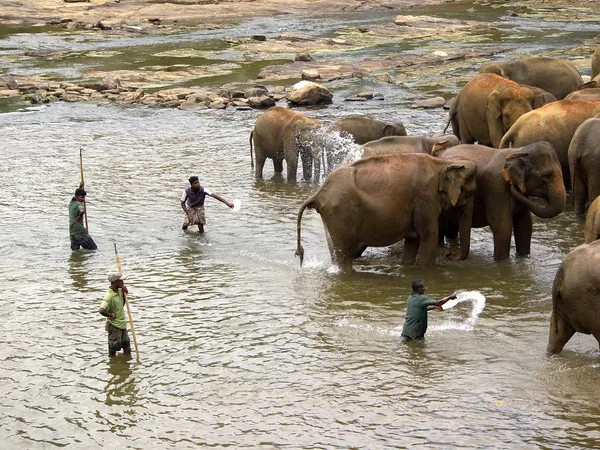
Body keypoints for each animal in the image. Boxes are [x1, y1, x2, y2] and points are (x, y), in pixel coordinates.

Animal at [292, 153, 476, 272]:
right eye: (471, 192)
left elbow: (413, 239)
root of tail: (318, 194)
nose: (449, 254)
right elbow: (428, 235)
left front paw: (408, 267)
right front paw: (427, 271)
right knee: (345, 255)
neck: (442, 162)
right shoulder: (425, 197)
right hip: (340, 214)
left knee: (336, 252)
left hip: (330, 217)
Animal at [436, 141, 568, 260]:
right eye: (548, 176)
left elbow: (524, 223)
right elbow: (502, 225)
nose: (512, 187)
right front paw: (503, 262)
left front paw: (524, 257)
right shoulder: (495, 185)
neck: (518, 151)